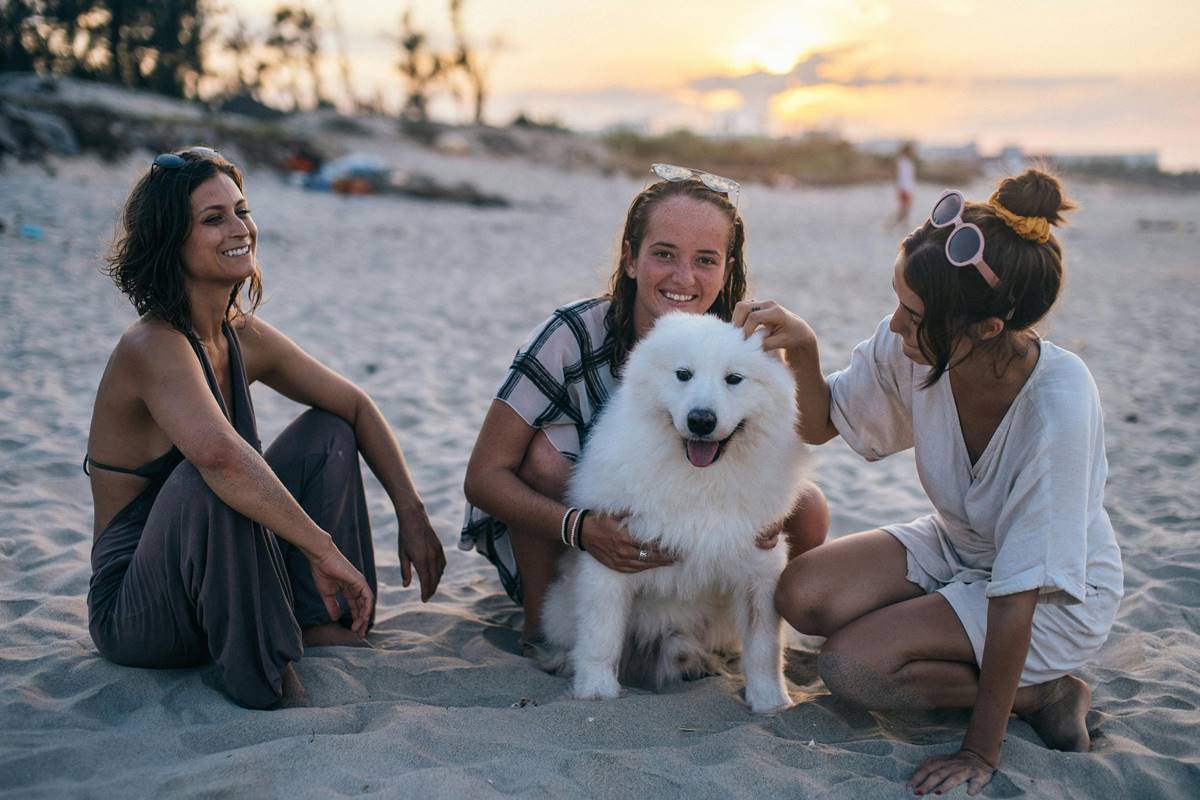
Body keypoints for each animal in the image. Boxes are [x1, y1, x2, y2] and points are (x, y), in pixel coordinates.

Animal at [542, 311, 806, 714]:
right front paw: (596, 692)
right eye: (683, 374)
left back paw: (697, 662)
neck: (699, 479)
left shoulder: (758, 566)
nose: (701, 420)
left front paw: (770, 702)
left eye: (734, 379)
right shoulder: (609, 561)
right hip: (560, 605)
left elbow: (764, 646)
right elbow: (601, 637)